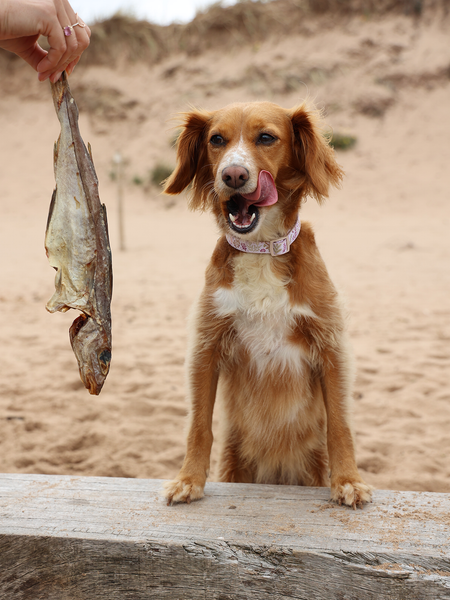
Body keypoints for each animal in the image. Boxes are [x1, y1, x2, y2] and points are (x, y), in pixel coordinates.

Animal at [162, 102, 372, 506]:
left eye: (266, 137)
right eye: (216, 140)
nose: (232, 174)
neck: (261, 249)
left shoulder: (331, 345)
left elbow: (340, 424)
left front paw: (348, 480)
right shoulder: (206, 346)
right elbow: (199, 424)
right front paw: (188, 479)